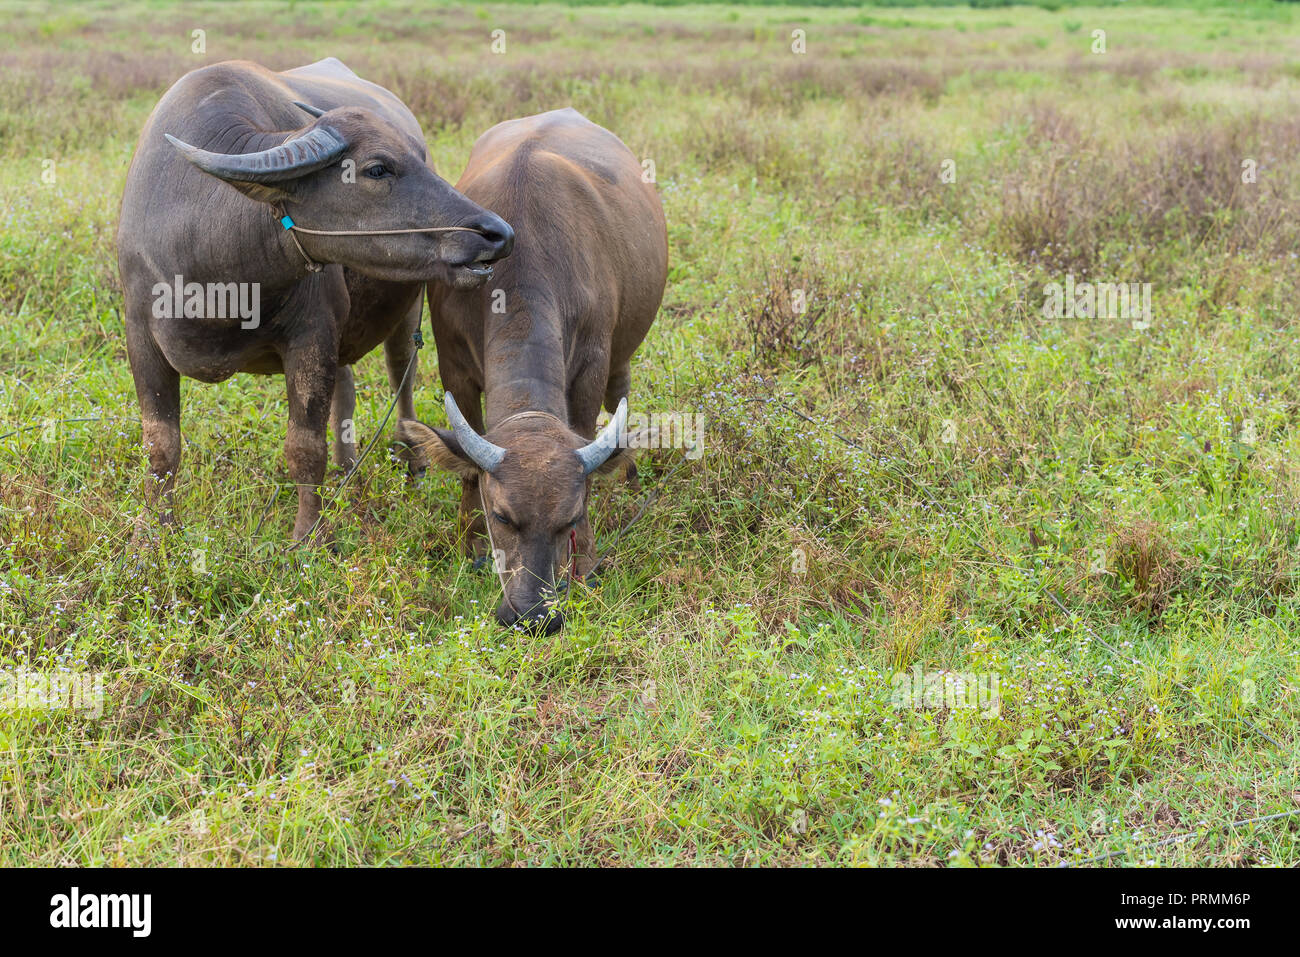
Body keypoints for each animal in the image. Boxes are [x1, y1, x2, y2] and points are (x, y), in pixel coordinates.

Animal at [115, 57, 512, 538]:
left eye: (419, 158)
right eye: (377, 169)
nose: (497, 232)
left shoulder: (312, 335)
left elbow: (304, 448)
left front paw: (308, 535)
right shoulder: (141, 336)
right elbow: (161, 446)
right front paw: (156, 530)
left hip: (409, 307)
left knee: (402, 374)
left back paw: (409, 462)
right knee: (347, 387)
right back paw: (348, 471)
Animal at [397, 108, 670, 631]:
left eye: (571, 517)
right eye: (502, 515)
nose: (532, 616)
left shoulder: (590, 365)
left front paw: (587, 564)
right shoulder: (453, 365)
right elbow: (467, 467)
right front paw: (472, 547)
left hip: (622, 354)